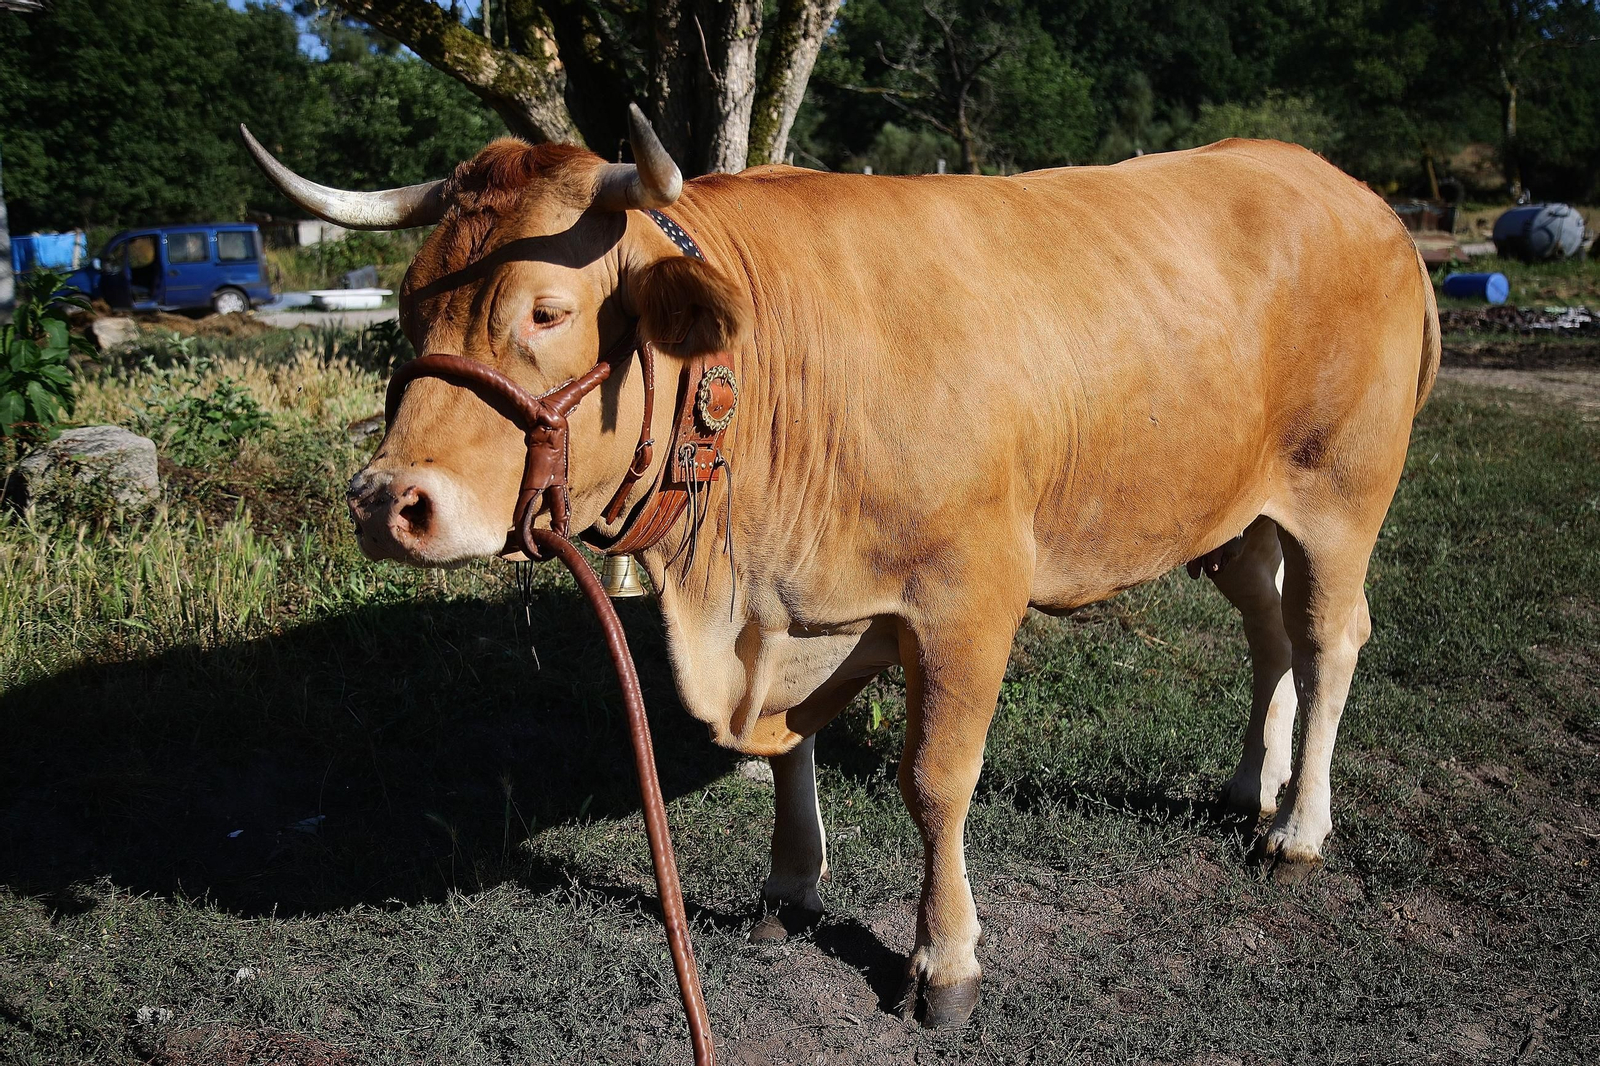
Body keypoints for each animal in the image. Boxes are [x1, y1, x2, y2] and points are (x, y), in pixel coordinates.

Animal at [244, 107, 1440, 1027]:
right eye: (409, 301)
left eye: (544, 310)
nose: (385, 503)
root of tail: (1348, 190)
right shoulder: (785, 611)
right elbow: (791, 747)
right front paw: (790, 884)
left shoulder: (969, 596)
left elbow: (935, 779)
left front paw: (944, 961)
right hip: (1230, 517)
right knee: (1267, 632)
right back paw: (1249, 783)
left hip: (1343, 492)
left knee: (1328, 640)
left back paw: (1297, 829)